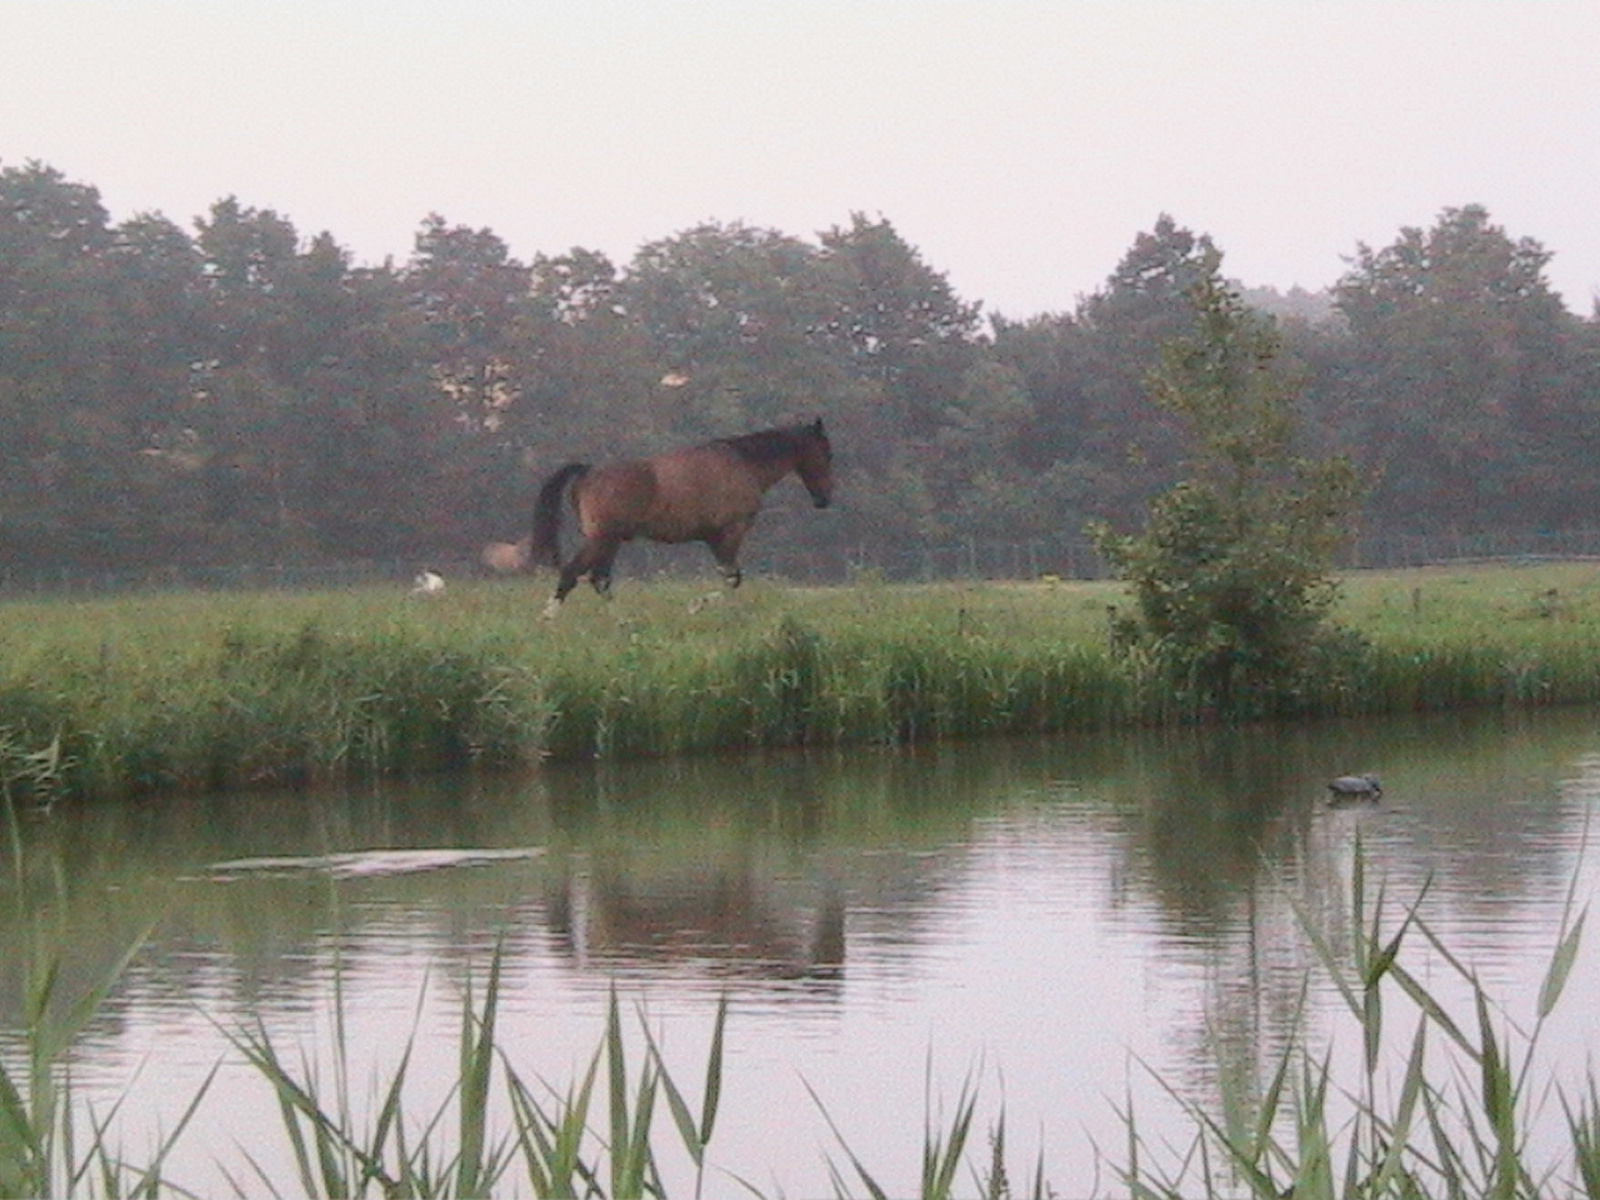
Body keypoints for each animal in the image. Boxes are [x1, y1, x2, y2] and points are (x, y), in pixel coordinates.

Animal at [534, 419, 838, 611]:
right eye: (827, 453)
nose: (824, 498)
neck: (744, 464)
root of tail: (587, 472)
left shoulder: (714, 539)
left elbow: (729, 576)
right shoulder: (731, 532)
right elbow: (732, 579)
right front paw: (703, 606)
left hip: (610, 541)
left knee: (599, 580)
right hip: (601, 539)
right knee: (573, 574)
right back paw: (549, 619)